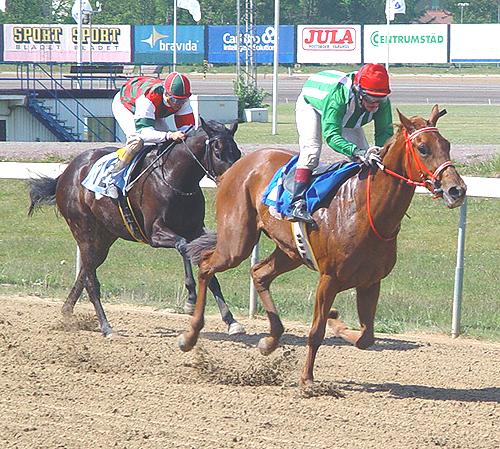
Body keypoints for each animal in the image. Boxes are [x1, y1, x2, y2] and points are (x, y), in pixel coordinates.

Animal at [28, 118, 245, 337]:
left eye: (237, 152)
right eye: (218, 151)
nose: (235, 181)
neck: (175, 178)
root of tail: (66, 173)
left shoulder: (194, 229)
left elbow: (204, 264)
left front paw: (231, 321)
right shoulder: (156, 233)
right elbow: (183, 246)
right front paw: (191, 299)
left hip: (105, 236)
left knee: (85, 271)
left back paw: (67, 311)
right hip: (83, 229)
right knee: (90, 280)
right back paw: (106, 327)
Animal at [178, 105, 467, 386]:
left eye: (447, 144)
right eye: (423, 148)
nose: (457, 190)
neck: (366, 210)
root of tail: (236, 166)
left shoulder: (370, 281)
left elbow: (366, 338)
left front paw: (336, 321)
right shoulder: (329, 278)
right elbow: (316, 332)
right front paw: (307, 380)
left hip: (290, 252)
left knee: (259, 273)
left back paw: (269, 340)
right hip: (237, 243)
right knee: (206, 265)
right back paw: (190, 335)